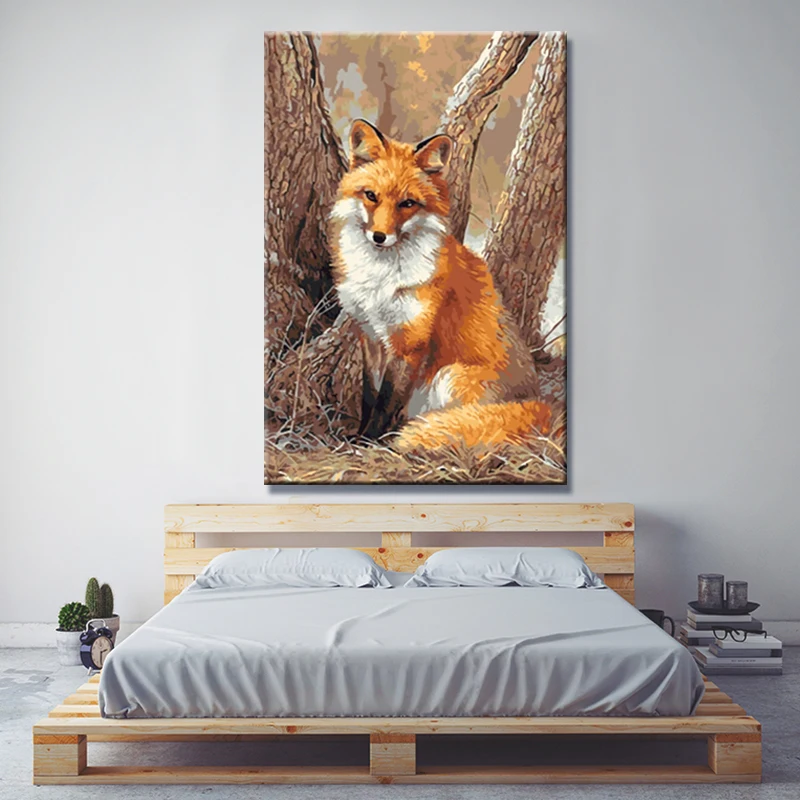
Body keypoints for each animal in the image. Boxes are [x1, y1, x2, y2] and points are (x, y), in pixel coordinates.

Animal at [329, 119, 552, 451]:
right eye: (371, 196)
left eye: (407, 203)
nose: (379, 237)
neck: (380, 279)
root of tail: (538, 403)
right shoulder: (369, 334)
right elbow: (370, 396)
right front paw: (360, 434)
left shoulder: (410, 342)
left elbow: (386, 400)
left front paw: (369, 442)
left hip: (450, 375)